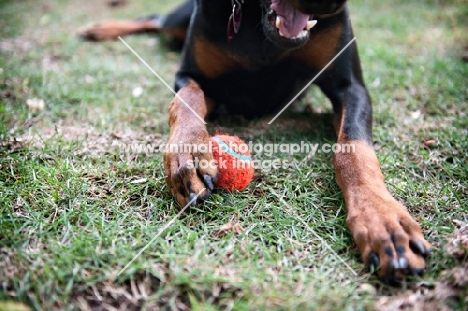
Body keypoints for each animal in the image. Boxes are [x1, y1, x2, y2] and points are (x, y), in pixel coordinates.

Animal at [78, 0, 430, 286]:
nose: (328, 2)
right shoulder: (192, 75)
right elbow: (188, 98)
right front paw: (189, 152)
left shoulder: (351, 87)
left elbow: (354, 149)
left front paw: (382, 220)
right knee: (155, 19)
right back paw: (101, 29)